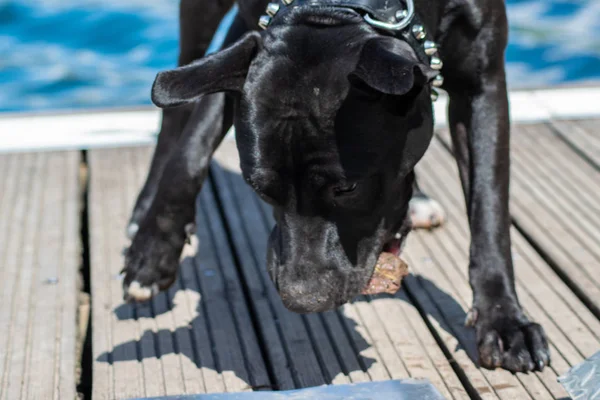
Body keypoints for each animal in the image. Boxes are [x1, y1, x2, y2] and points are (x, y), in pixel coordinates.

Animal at [120, 0, 548, 372]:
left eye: (348, 189)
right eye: (259, 189)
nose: (301, 298)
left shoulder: (482, 83)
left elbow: (489, 209)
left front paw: (504, 319)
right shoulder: (248, 39)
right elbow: (192, 147)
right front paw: (152, 255)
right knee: (178, 103)